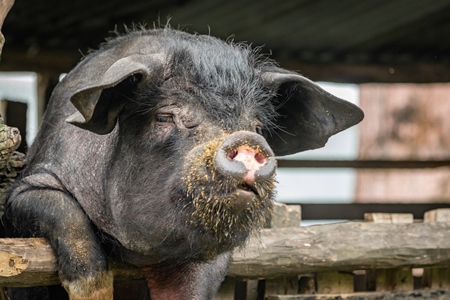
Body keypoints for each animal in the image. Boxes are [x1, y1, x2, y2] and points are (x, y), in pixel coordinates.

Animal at [5, 27, 364, 298]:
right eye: (165, 116)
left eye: (258, 127)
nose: (247, 142)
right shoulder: (22, 191)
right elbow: (63, 215)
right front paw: (94, 292)